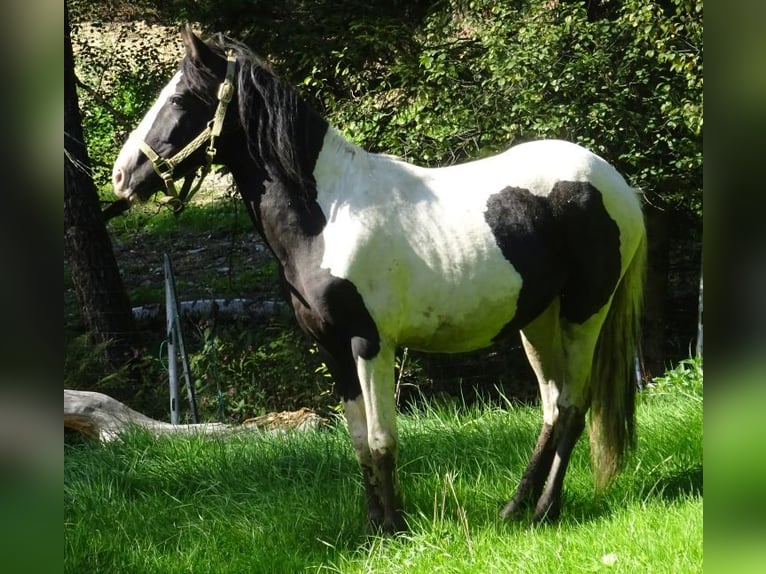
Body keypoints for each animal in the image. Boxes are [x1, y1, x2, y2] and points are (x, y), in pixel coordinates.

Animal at [112, 25, 646, 533]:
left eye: (180, 100)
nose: (121, 176)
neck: (330, 216)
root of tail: (618, 183)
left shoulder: (370, 343)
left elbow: (382, 438)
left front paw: (395, 527)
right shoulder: (331, 348)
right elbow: (357, 441)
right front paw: (372, 526)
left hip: (585, 312)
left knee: (574, 406)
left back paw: (544, 511)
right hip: (536, 321)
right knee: (552, 406)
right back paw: (513, 508)